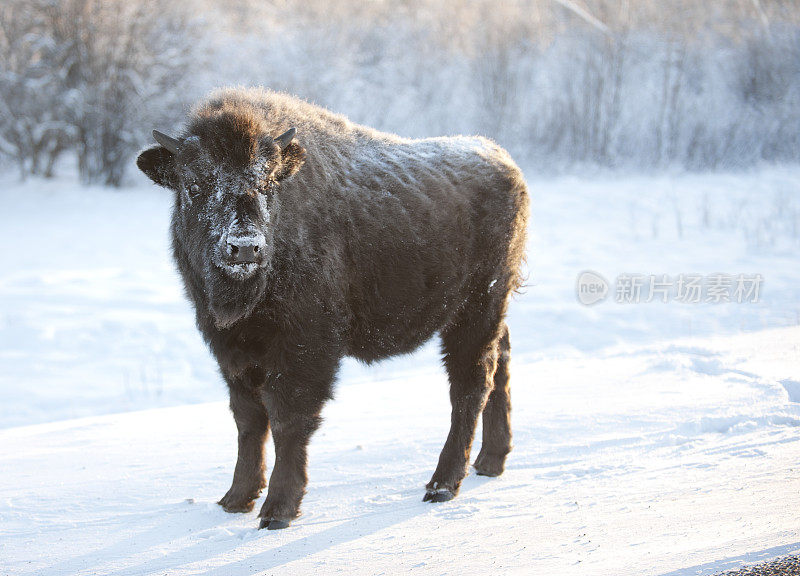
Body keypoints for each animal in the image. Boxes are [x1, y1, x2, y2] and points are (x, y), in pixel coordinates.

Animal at [135, 86, 528, 532]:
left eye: (268, 182)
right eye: (195, 185)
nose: (245, 247)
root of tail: (504, 161)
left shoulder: (303, 350)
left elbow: (287, 420)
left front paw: (277, 510)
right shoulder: (231, 350)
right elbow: (248, 421)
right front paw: (235, 499)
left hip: (474, 312)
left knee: (469, 386)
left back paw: (442, 485)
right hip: (488, 312)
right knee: (500, 364)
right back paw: (490, 462)